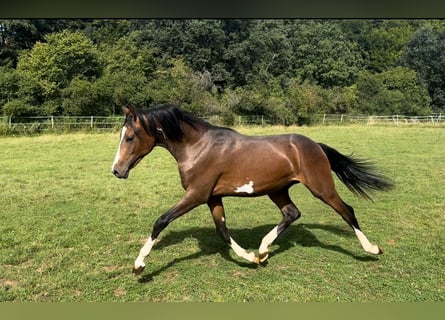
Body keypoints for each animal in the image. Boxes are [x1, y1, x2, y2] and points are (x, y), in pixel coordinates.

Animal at [111, 104, 392, 274]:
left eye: (130, 137)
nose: (116, 170)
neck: (197, 147)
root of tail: (316, 145)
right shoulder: (212, 198)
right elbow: (223, 231)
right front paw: (252, 257)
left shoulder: (196, 195)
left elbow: (161, 221)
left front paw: (139, 265)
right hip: (278, 190)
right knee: (292, 213)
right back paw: (264, 249)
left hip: (321, 188)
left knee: (347, 211)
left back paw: (372, 249)